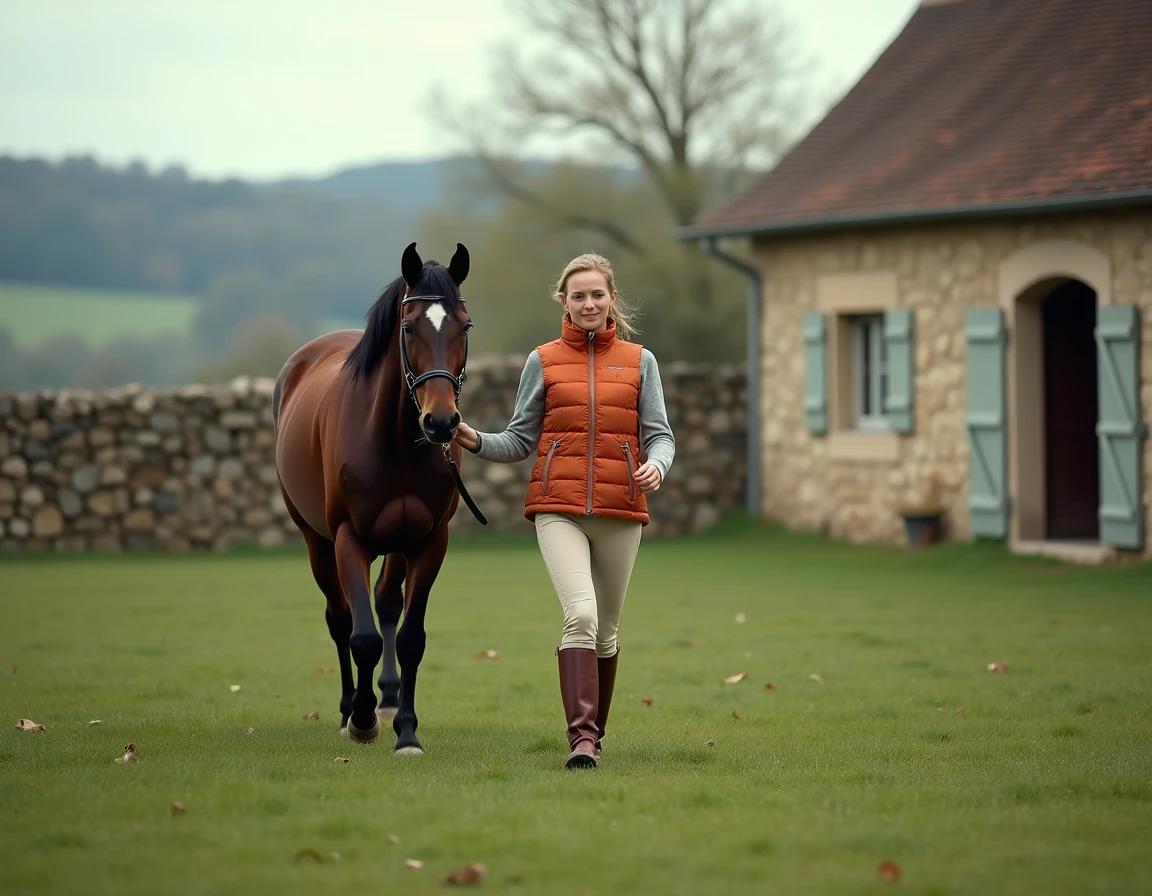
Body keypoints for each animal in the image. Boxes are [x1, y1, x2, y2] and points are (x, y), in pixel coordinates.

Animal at [273, 241, 478, 755]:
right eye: (409, 328)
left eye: (464, 326)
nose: (441, 422)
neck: (397, 443)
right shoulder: (350, 539)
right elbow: (361, 636)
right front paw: (361, 720)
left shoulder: (428, 543)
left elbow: (409, 639)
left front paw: (406, 730)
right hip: (317, 542)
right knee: (340, 619)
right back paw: (352, 707)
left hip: (398, 545)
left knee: (386, 604)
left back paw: (385, 700)